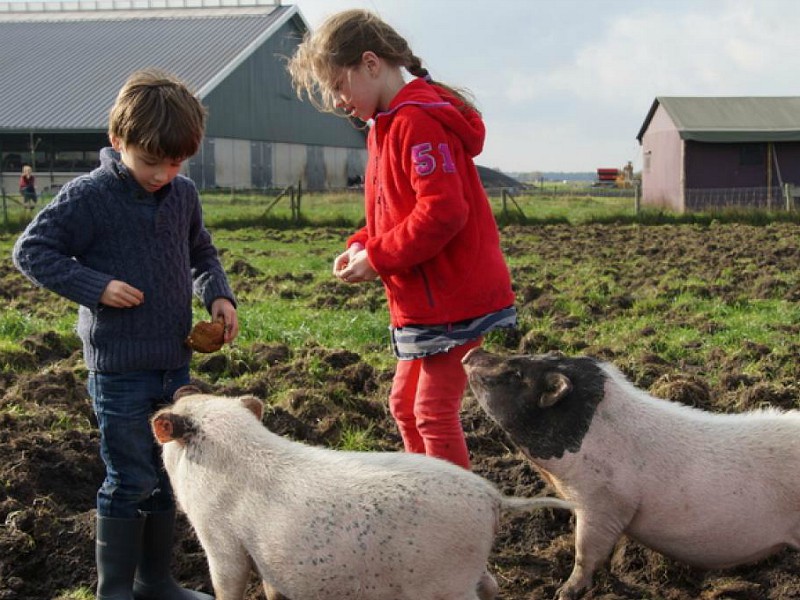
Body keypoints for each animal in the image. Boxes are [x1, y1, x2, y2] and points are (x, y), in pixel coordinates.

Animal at [152, 386, 576, 596]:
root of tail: (493, 498)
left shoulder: (218, 537)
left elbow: (227, 582)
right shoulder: (267, 556)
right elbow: (272, 590)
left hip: (446, 581)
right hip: (467, 567)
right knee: (491, 584)